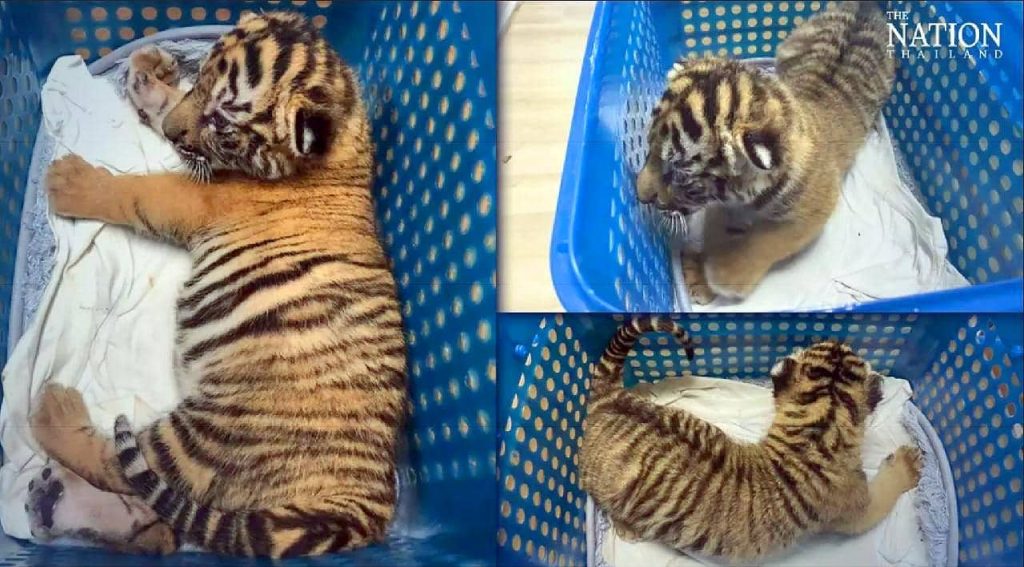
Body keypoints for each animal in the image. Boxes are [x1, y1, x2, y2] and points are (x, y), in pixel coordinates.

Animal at [27, 12, 407, 558]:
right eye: (201, 79)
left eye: (222, 123)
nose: (170, 133)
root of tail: (362, 510)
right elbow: (172, 108)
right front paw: (149, 76)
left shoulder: (192, 197)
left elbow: (134, 192)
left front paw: (71, 181)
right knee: (159, 530)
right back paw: (48, 500)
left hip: (205, 437)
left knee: (121, 467)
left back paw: (51, 407)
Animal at [580, 316, 922, 562]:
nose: (839, 338)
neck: (820, 423)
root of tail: (610, 399)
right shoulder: (856, 509)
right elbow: (884, 493)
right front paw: (909, 462)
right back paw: (627, 529)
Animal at [636, 2, 895, 304]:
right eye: (648, 150)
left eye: (677, 174)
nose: (639, 196)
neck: (744, 197)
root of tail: (868, 5)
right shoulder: (725, 207)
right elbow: (718, 231)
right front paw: (699, 271)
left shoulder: (813, 211)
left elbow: (764, 243)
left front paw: (721, 276)